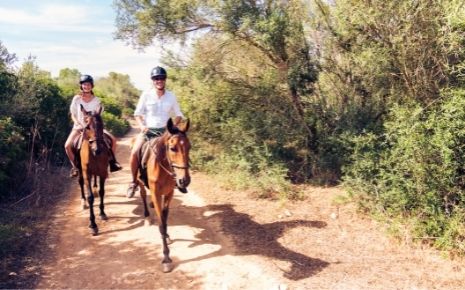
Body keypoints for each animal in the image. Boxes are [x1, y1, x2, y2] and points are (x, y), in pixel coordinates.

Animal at [136, 118, 190, 272]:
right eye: (172, 148)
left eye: (189, 147)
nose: (184, 180)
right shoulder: (156, 193)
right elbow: (161, 224)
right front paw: (166, 258)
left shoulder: (169, 193)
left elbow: (165, 219)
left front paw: (166, 235)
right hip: (139, 182)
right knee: (143, 194)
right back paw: (147, 216)